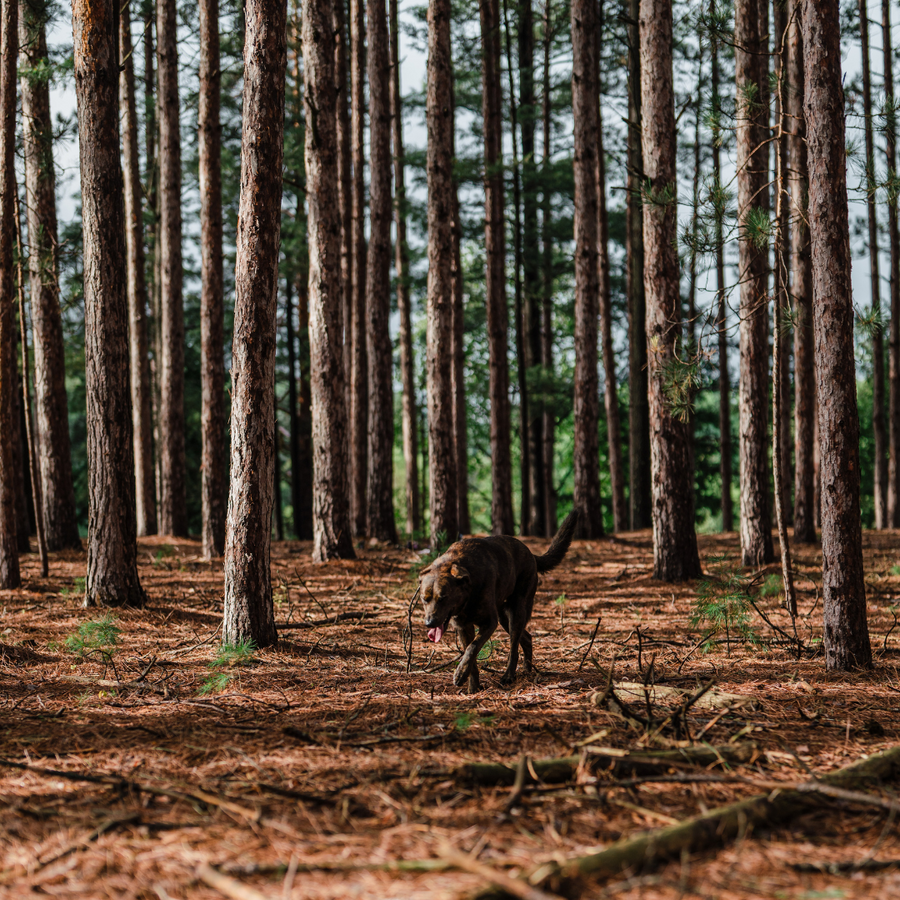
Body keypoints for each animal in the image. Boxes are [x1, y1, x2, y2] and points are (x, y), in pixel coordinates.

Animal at [420, 510, 580, 692]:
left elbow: (472, 648)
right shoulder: (463, 627)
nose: (429, 623)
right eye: (424, 599)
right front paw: (472, 687)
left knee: (513, 648)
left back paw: (509, 675)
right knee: (526, 638)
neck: (468, 590)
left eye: (443, 598)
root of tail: (531, 554)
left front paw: (460, 674)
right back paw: (527, 668)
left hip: (517, 611)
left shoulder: (489, 623)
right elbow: (471, 656)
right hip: (504, 617)